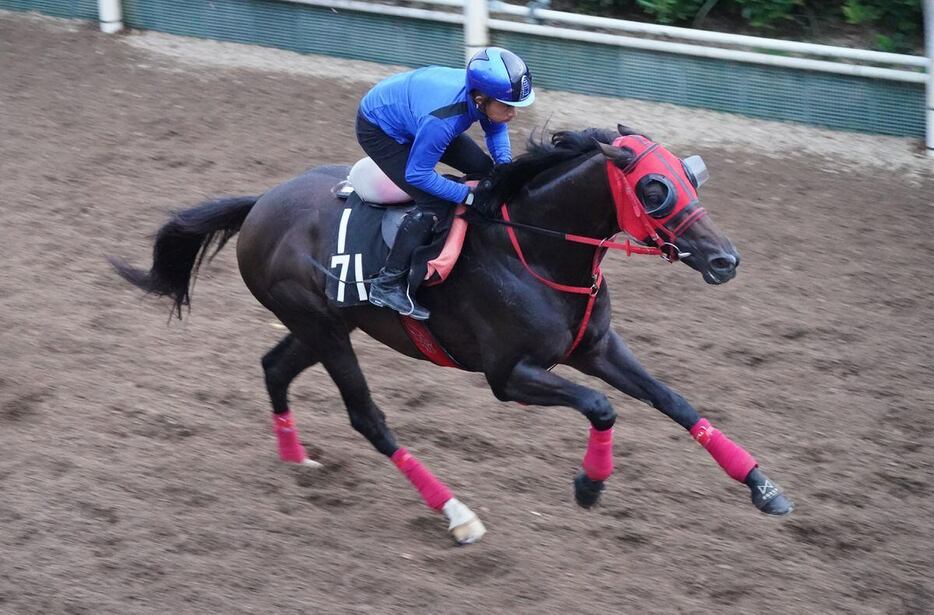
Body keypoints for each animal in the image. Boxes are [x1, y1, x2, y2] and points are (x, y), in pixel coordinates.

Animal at [111, 125, 796, 544]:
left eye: (691, 176)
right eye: (654, 189)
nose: (725, 260)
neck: (536, 250)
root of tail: (259, 205)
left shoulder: (595, 348)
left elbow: (672, 400)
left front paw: (764, 487)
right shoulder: (508, 375)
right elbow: (602, 407)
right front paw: (590, 484)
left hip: (325, 323)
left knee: (274, 367)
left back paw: (295, 458)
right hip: (323, 328)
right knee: (368, 418)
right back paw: (457, 513)